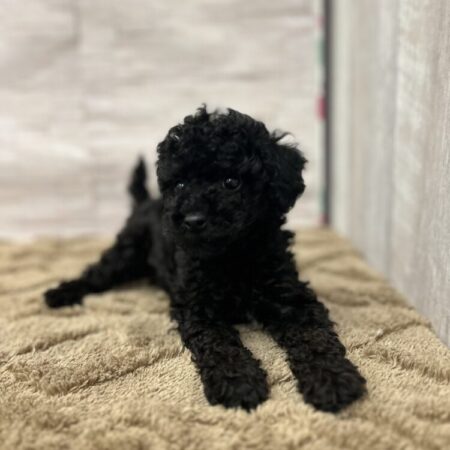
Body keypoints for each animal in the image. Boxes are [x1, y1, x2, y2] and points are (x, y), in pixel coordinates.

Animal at [45, 106, 366, 412]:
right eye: (180, 185)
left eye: (231, 182)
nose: (192, 220)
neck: (232, 255)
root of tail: (145, 202)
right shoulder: (197, 306)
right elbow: (218, 345)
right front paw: (238, 383)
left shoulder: (291, 297)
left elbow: (314, 337)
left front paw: (332, 380)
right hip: (128, 250)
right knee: (98, 273)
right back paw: (60, 294)